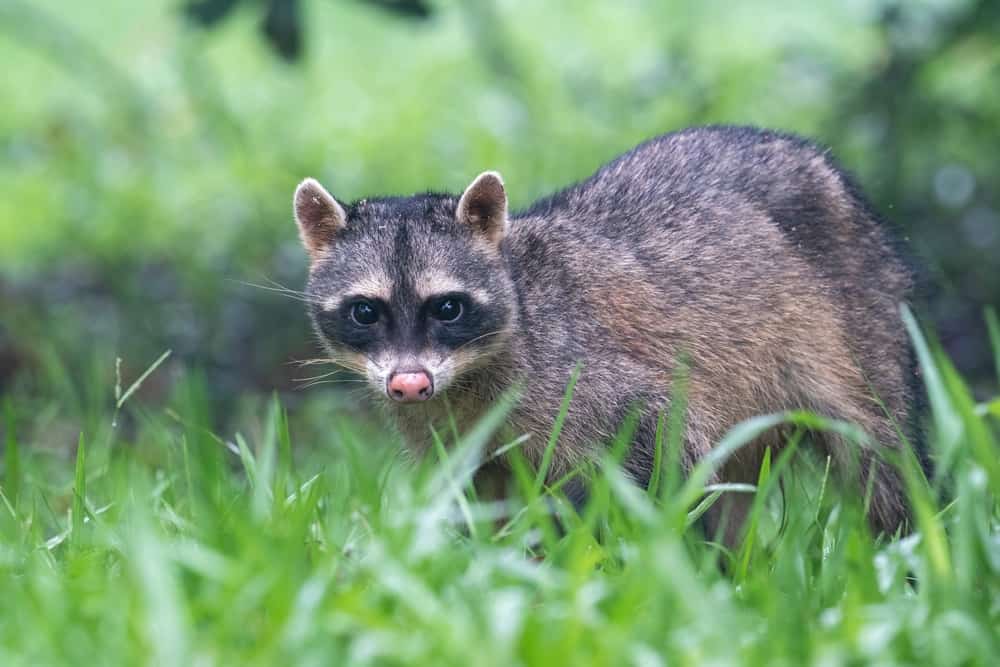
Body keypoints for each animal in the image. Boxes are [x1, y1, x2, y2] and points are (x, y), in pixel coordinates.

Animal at [292, 126, 924, 548]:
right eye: (365, 312)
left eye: (447, 308)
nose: (409, 385)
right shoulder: (450, 434)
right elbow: (485, 506)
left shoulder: (590, 381)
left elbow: (659, 455)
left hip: (859, 320)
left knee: (882, 457)